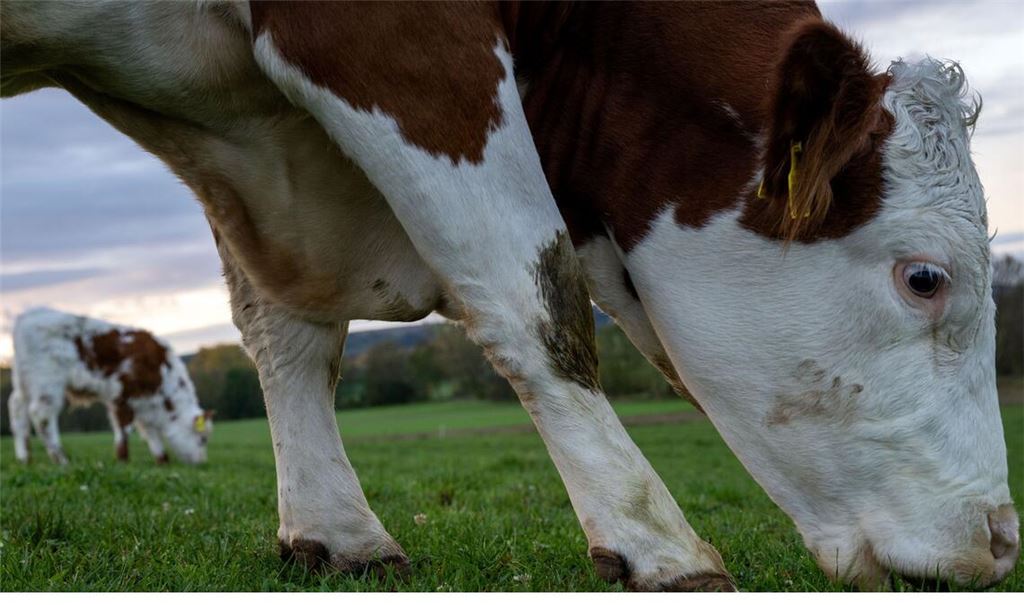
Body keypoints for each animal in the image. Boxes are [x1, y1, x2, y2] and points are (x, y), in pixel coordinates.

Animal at [7, 308, 213, 465]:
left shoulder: (144, 402)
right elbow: (124, 428)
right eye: (203, 439)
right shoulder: (122, 394)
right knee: (41, 416)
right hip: (46, 383)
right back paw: (61, 459)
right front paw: (123, 459)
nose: (201, 462)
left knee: (18, 413)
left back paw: (25, 458)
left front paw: (162, 459)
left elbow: (149, 431)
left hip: (22, 383)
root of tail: (28, 315)